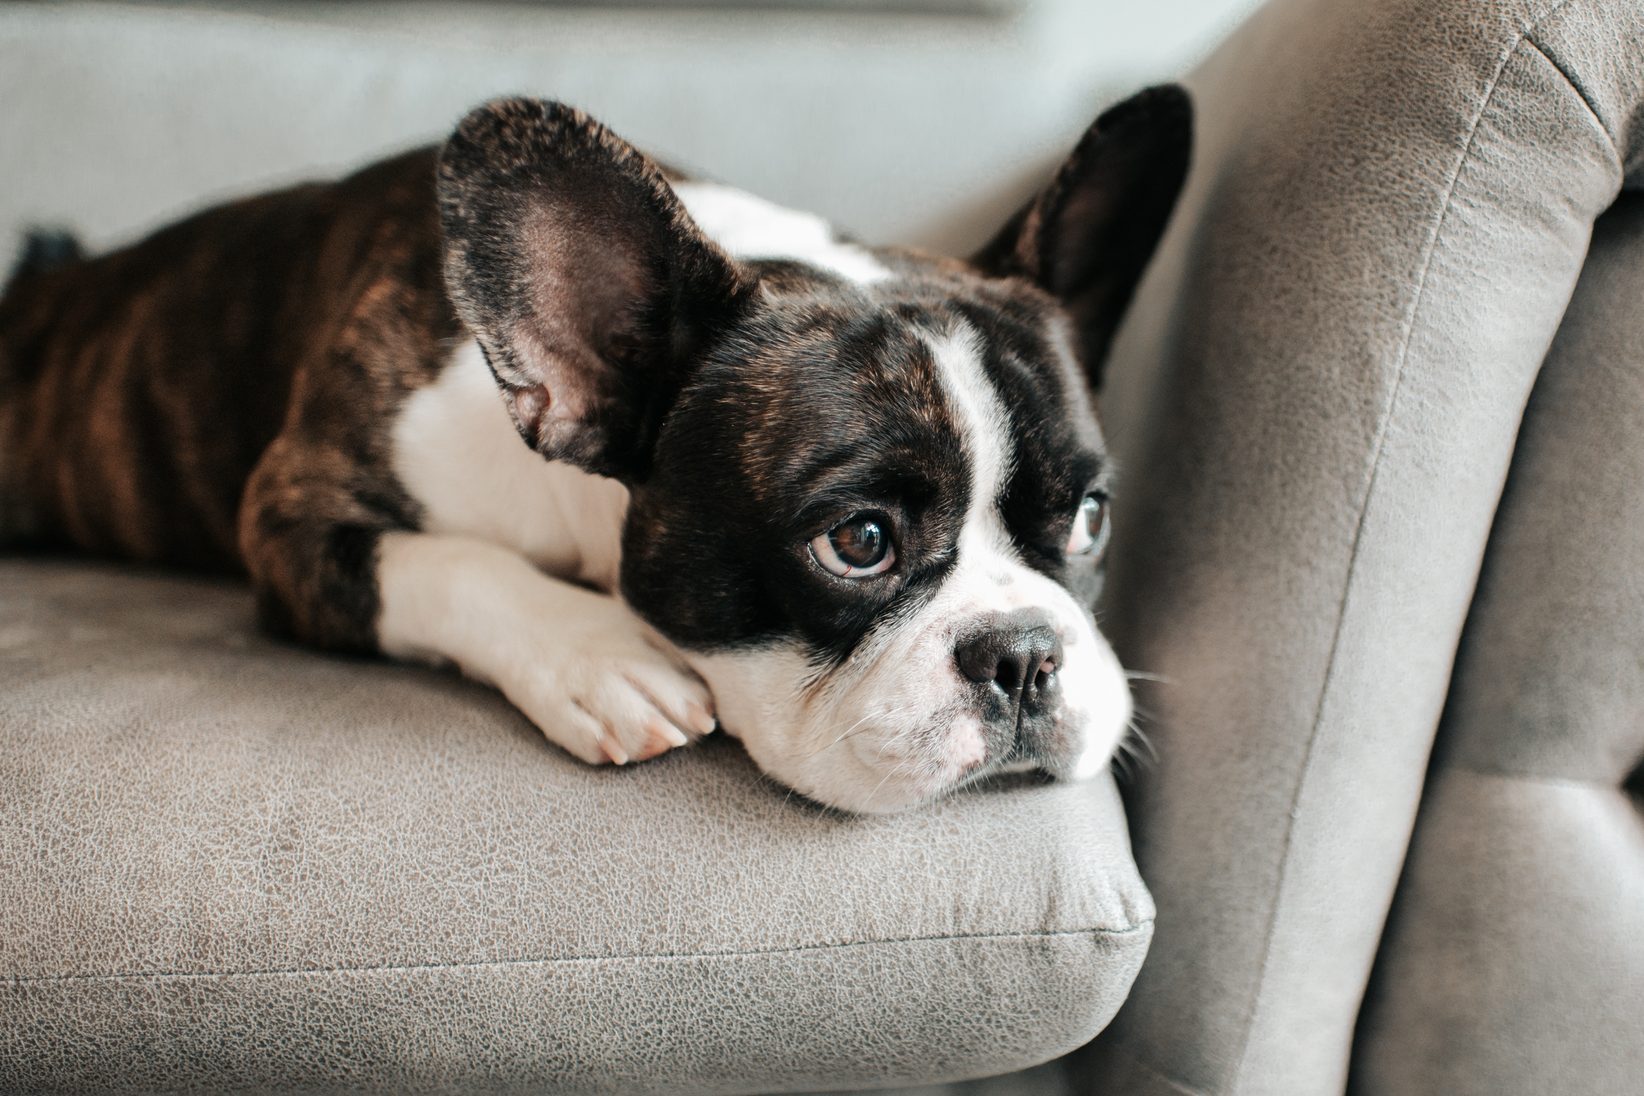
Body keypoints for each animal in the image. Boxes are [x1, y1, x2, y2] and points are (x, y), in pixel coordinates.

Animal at [0, 87, 1183, 815]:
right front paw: (598, 655)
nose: (1024, 653)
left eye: (1090, 518)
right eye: (859, 542)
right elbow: (450, 562)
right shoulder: (293, 512)